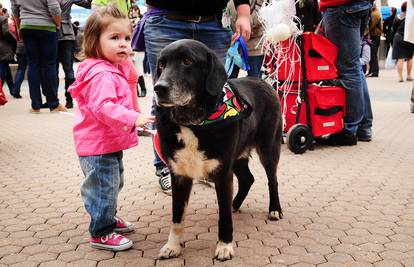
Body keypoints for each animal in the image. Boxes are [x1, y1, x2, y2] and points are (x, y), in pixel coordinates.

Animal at [154, 39, 284, 262]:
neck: (193, 123)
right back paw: (234, 204)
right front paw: (173, 246)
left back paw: (274, 209)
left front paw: (224, 246)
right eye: (161, 65)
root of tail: (263, 82)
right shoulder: (179, 175)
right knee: (248, 179)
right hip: (237, 157)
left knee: (272, 180)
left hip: (268, 149)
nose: (158, 88)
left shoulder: (222, 174)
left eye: (187, 61)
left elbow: (224, 219)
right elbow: (177, 217)